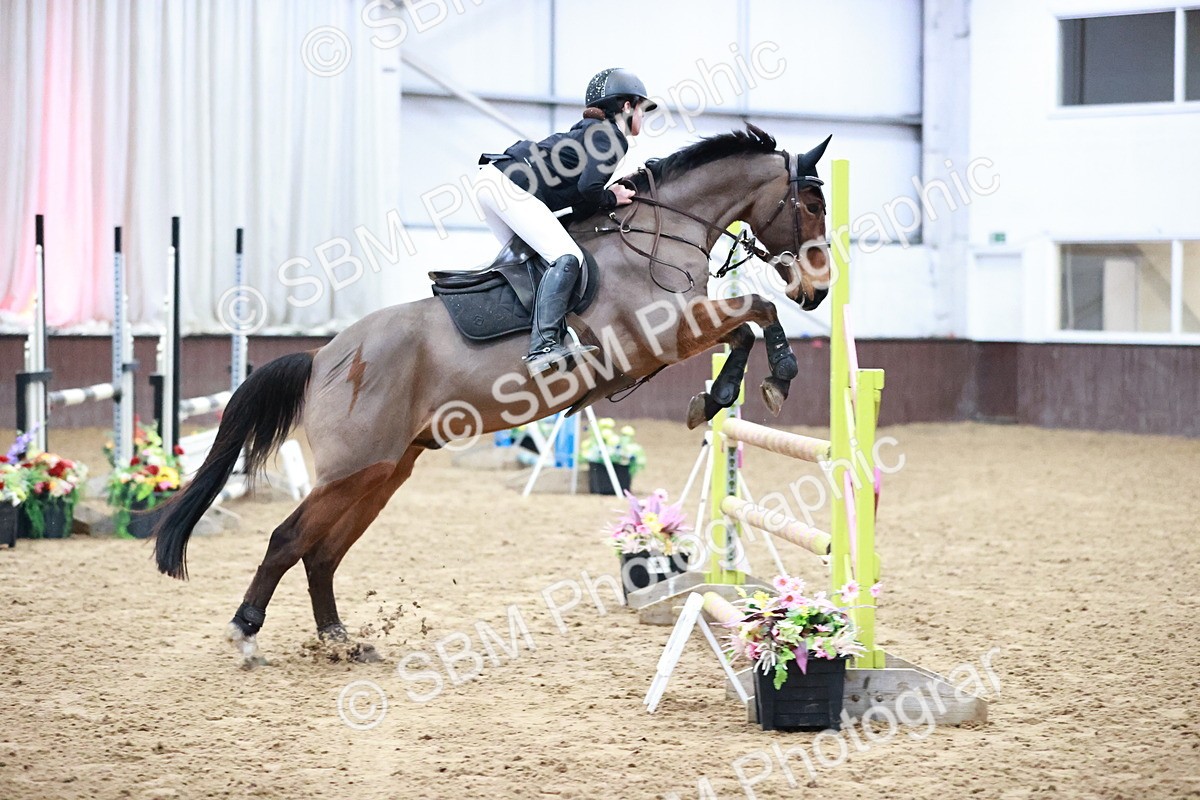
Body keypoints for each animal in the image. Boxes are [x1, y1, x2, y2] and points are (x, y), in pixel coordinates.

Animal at [152, 124, 832, 666]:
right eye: (811, 202)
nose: (818, 291)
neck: (657, 237)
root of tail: (323, 357)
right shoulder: (664, 335)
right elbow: (757, 309)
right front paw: (776, 377)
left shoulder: (680, 333)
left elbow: (746, 323)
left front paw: (719, 396)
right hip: (354, 468)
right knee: (289, 540)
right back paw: (246, 632)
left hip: (383, 471)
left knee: (323, 553)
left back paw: (339, 638)